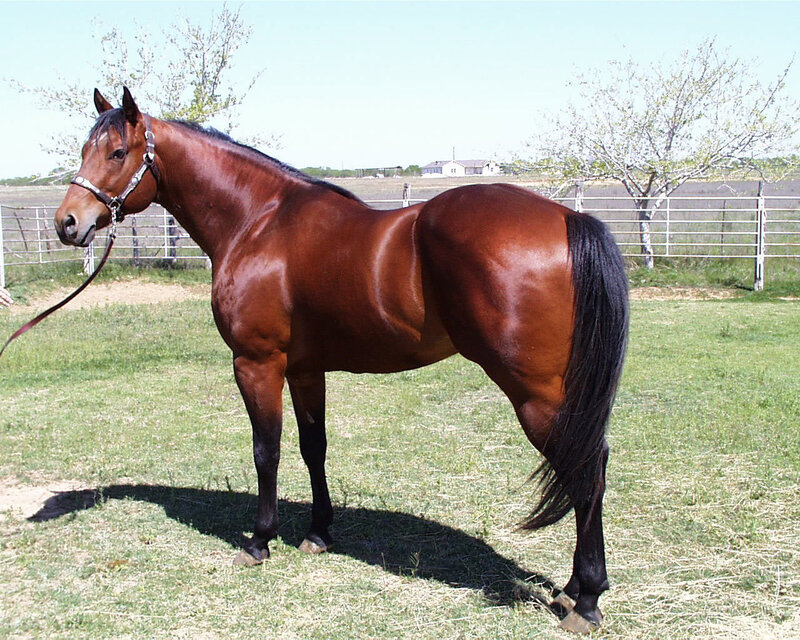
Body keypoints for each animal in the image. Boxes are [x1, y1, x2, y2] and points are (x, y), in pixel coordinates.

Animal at [53, 88, 628, 634]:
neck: (258, 221)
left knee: (585, 470)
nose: (67, 223)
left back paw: (587, 599)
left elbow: (266, 451)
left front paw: (259, 541)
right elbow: (314, 448)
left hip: (534, 394)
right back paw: (573, 589)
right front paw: (318, 532)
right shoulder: (306, 369)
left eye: (117, 152)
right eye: (83, 149)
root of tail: (567, 216)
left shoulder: (256, 363)